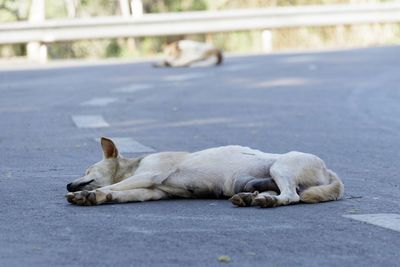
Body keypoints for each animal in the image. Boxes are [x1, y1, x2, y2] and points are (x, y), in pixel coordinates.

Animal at [65, 137, 344, 208]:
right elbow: (119, 193)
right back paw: (253, 198)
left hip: (281, 166)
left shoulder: (148, 175)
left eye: (87, 170)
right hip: (261, 179)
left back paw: (267, 201)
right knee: (278, 191)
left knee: (291, 196)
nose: (68, 184)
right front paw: (98, 197)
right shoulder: (150, 191)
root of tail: (328, 170)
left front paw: (91, 193)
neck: (132, 166)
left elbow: (111, 186)